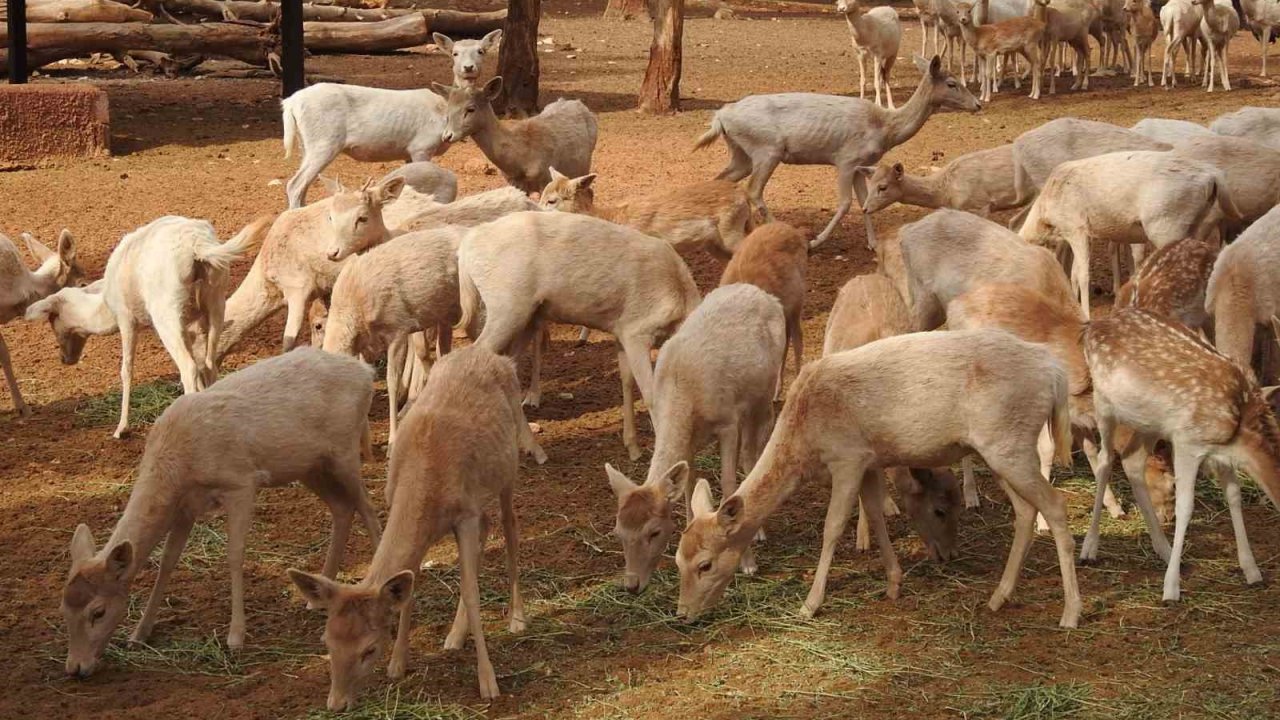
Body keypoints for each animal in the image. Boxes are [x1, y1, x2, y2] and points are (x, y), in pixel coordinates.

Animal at [1080, 308, 1280, 599]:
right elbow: (1185, 507)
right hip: (1104, 402)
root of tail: (1093, 324)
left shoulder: (1221, 454)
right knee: (1106, 460)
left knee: (1132, 461)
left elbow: (1234, 496)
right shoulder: (1188, 441)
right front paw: (1170, 589)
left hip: (1149, 422)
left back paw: (1162, 548)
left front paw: (1252, 571)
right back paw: (1089, 548)